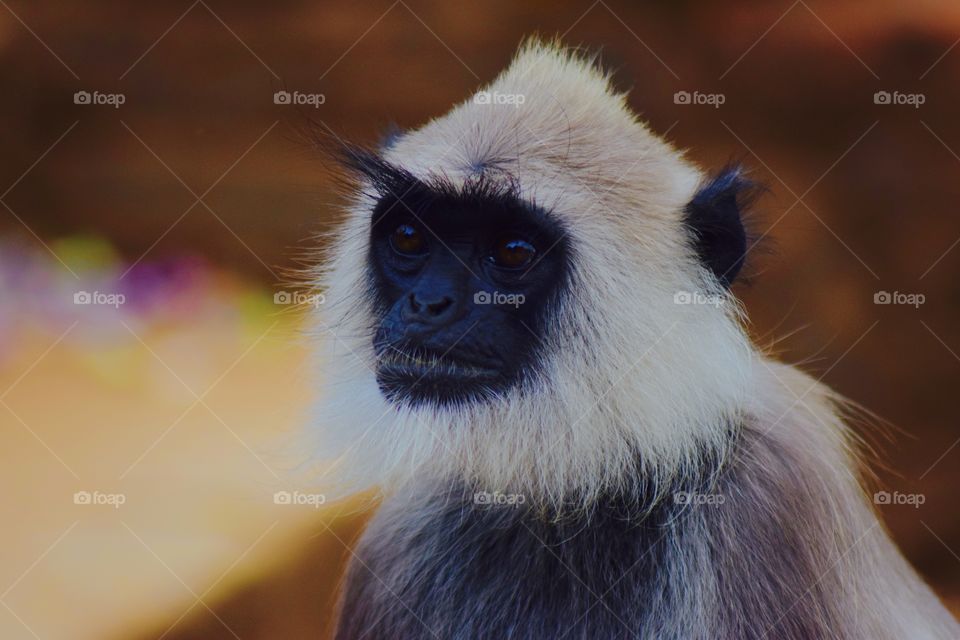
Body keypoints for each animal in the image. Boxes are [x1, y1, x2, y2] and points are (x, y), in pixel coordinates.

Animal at [308, 39, 960, 639]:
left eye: (513, 252)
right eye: (410, 239)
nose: (428, 304)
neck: (583, 481)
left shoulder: (776, 493)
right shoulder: (399, 543)